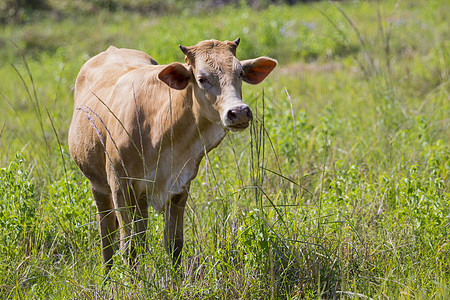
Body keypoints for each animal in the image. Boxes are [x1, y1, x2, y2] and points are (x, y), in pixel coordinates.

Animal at [67, 37, 278, 272]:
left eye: (240, 73)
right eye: (202, 78)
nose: (239, 112)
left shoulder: (179, 187)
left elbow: (173, 244)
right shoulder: (120, 187)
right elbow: (129, 248)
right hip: (99, 186)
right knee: (106, 233)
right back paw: (106, 273)